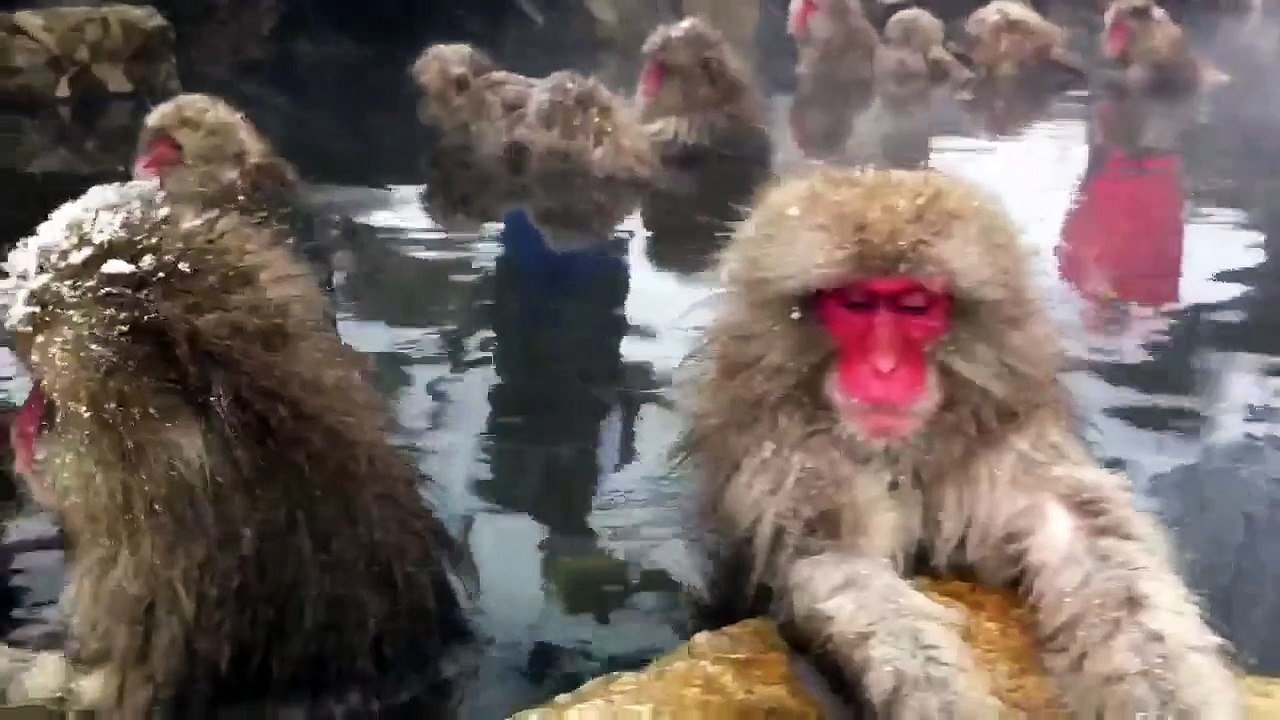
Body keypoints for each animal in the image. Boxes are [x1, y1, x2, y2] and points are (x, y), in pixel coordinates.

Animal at [681, 167, 1242, 718]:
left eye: (915, 306)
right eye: (856, 304)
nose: (884, 369)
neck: (904, 453)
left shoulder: (1007, 444)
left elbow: (1092, 539)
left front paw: (1170, 701)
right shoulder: (795, 465)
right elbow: (834, 562)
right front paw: (943, 698)